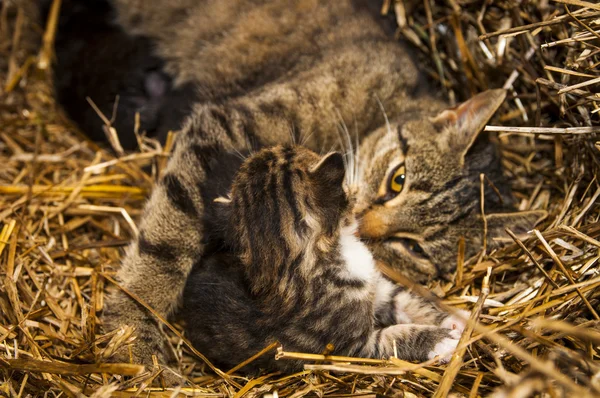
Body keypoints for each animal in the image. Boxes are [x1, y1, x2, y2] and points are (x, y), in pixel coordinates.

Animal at [183, 146, 468, 374]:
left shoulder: (380, 290)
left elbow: (410, 301)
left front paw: (456, 319)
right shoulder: (350, 347)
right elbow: (396, 336)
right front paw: (443, 341)